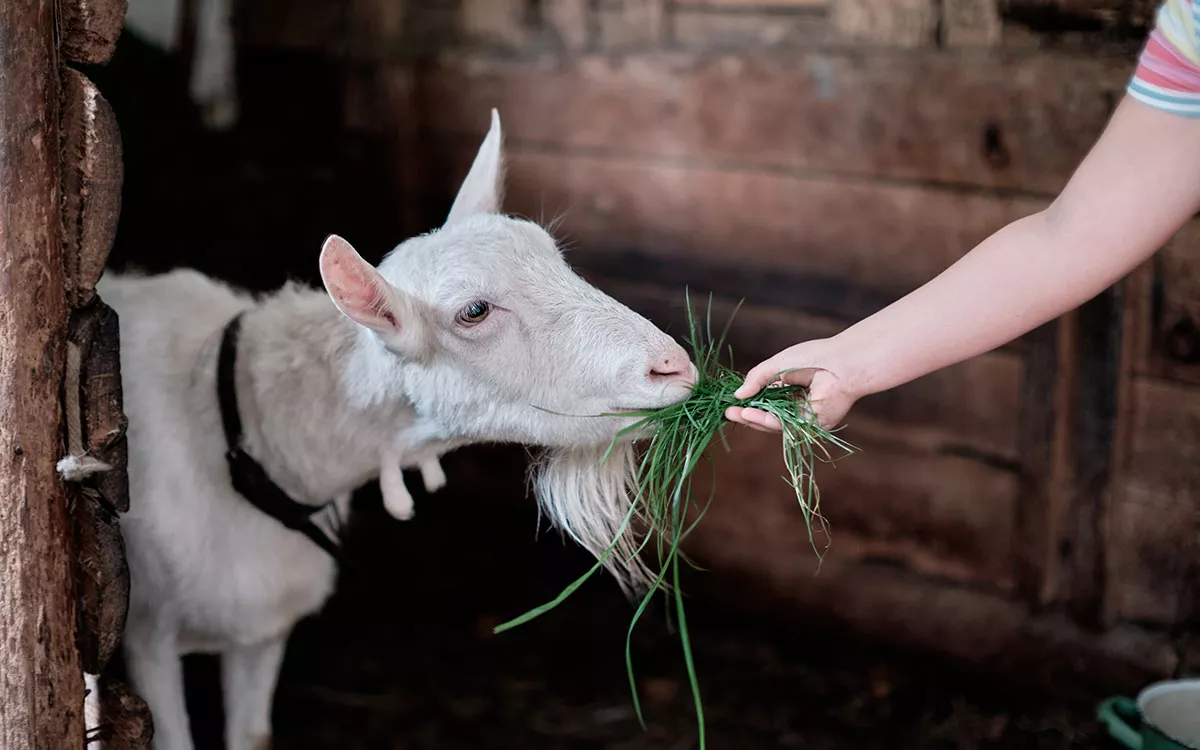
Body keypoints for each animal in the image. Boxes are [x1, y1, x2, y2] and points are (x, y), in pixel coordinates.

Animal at [98, 111, 700, 748]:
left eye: (557, 259)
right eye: (474, 312)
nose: (672, 366)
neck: (245, 436)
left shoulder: (264, 630)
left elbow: (252, 735)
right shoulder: (147, 636)